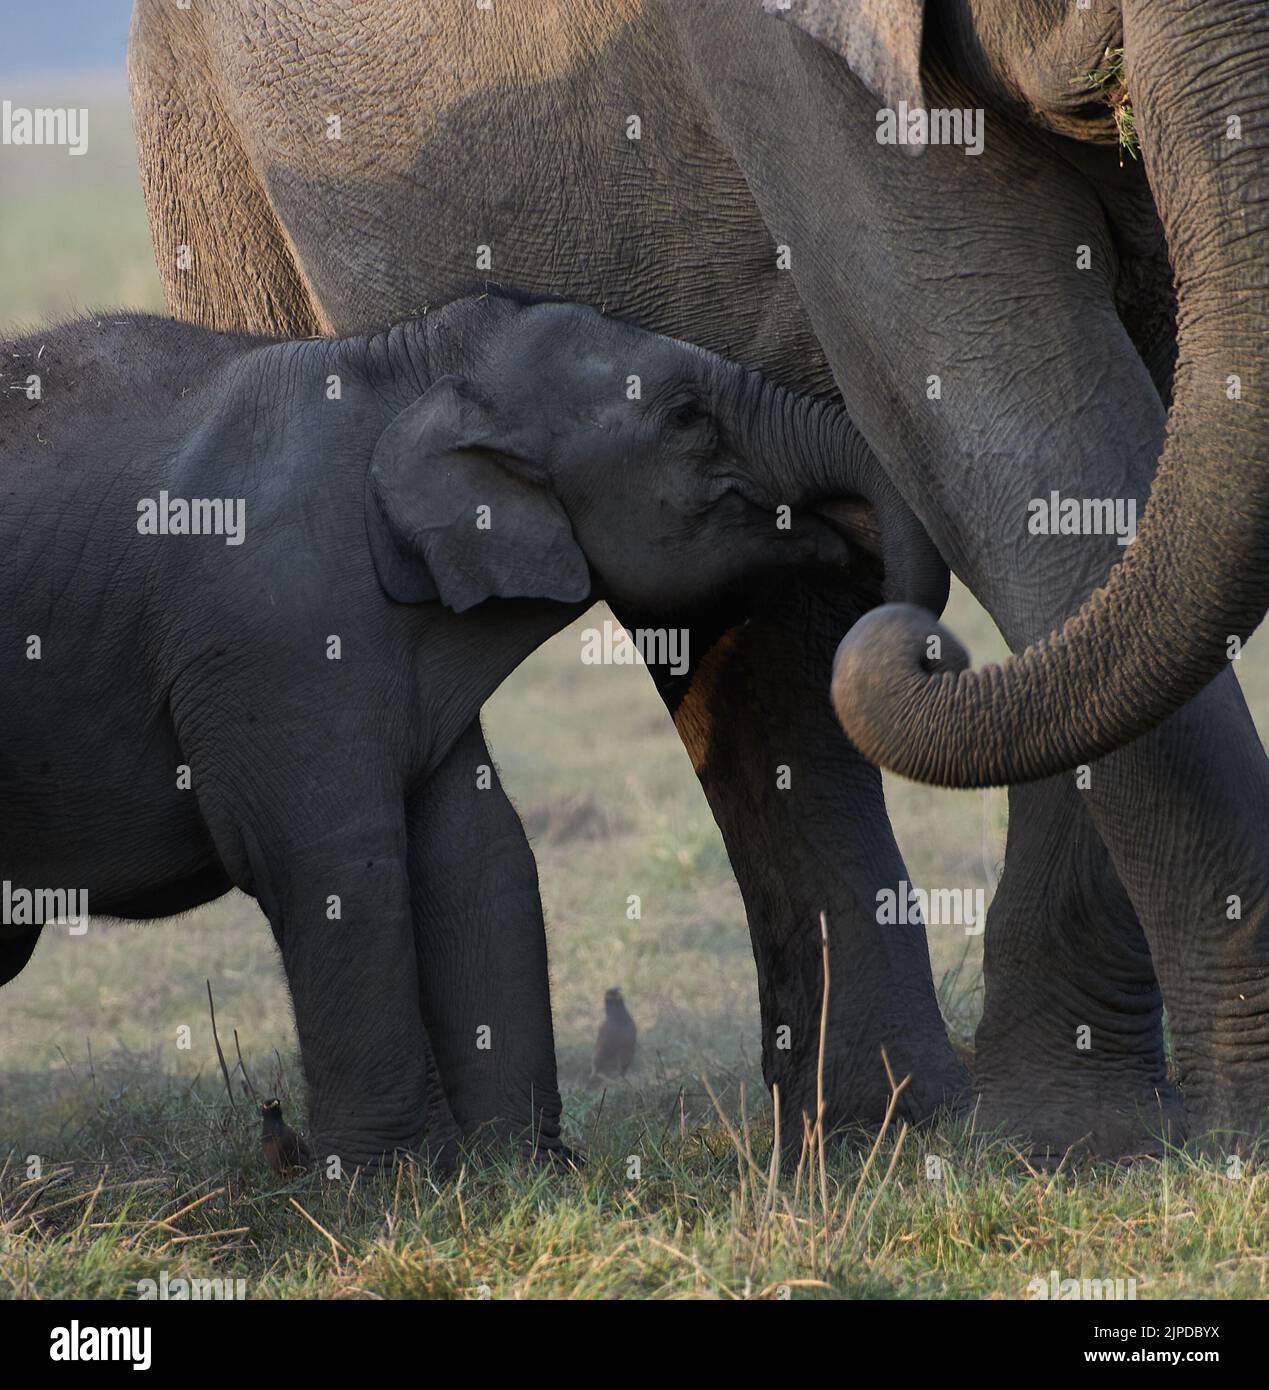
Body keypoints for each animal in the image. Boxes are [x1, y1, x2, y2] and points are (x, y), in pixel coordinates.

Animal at [0, 295, 944, 1164]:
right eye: (685, 416)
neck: (401, 372)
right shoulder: (269, 633)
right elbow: (332, 861)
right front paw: (391, 1185)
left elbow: (479, 852)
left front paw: (521, 1172)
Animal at [126, 0, 1269, 1152]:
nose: (918, 639)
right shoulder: (774, 58)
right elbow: (1014, 423)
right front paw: (1123, 1140)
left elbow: (1137, 428)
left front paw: (1082, 1135)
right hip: (206, 143)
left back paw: (871, 1128)